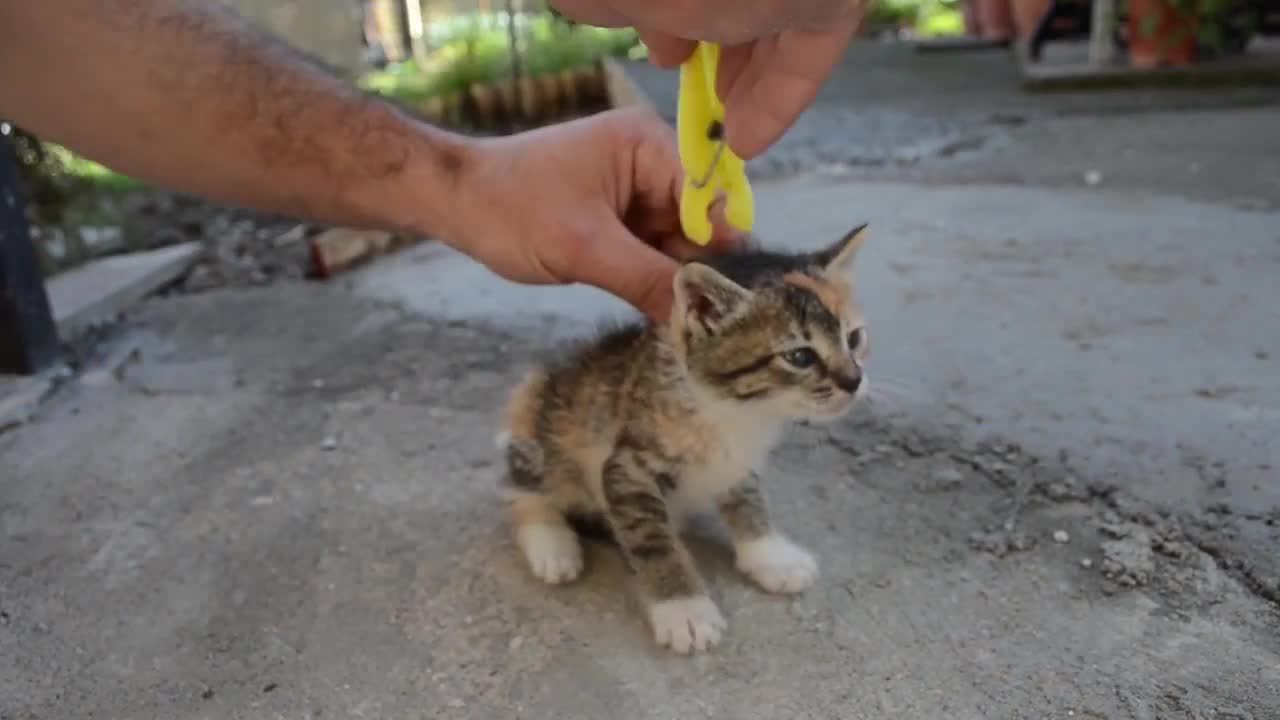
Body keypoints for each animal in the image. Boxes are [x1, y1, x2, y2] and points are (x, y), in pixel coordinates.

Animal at [496, 222, 870, 650]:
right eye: (800, 357)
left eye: (854, 339)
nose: (854, 381)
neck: (734, 412)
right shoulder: (626, 468)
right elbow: (653, 540)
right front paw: (684, 608)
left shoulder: (738, 463)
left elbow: (748, 501)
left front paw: (770, 555)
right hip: (536, 415)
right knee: (524, 489)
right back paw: (552, 545)